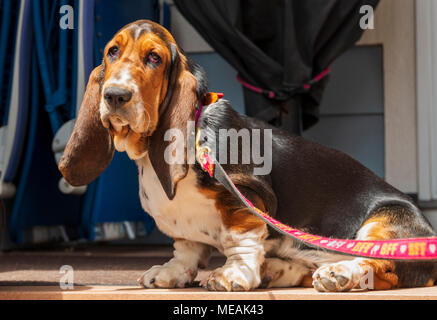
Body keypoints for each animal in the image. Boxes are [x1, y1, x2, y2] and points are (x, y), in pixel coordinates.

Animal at [58, 18, 436, 292]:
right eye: (112, 52)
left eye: (154, 58)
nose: (115, 95)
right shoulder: (185, 231)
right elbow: (186, 248)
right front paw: (172, 271)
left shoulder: (246, 196)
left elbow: (241, 238)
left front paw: (233, 274)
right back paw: (279, 270)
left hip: (383, 224)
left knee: (383, 266)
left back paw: (340, 272)